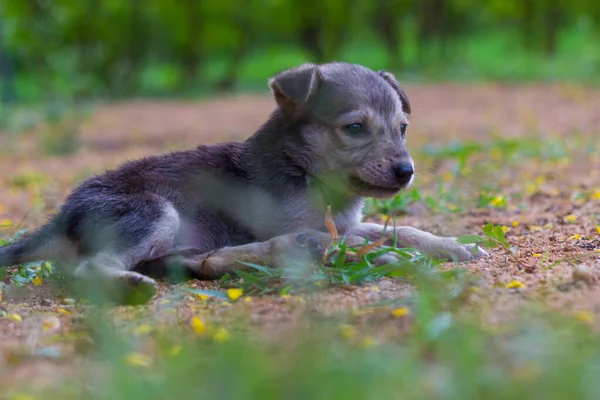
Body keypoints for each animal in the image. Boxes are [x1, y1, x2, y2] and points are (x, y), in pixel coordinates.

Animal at [0, 61, 486, 302]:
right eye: (354, 128)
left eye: (402, 128)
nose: (407, 171)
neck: (308, 175)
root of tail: (62, 216)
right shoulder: (312, 222)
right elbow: (359, 240)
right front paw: (376, 255)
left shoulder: (346, 221)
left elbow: (404, 229)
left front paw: (452, 245)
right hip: (154, 212)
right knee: (93, 269)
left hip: (177, 240)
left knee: (202, 261)